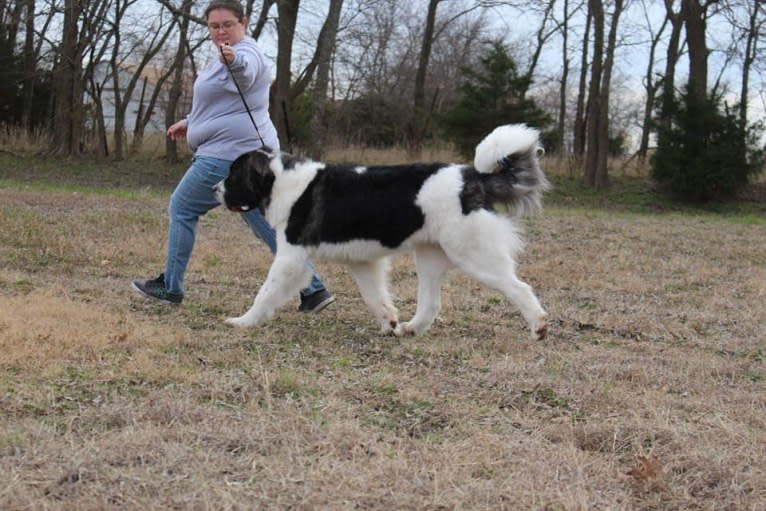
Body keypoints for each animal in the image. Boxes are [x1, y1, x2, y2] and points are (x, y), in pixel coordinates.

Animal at [216, 124, 552, 340]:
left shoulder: (290, 257)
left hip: (474, 255)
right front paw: (389, 322)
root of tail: (473, 177)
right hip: (430, 256)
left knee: (519, 287)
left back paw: (538, 327)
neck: (280, 182)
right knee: (431, 303)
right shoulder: (363, 262)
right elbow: (374, 296)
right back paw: (410, 329)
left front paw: (243, 322)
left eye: (233, 174)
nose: (215, 189)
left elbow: (266, 292)